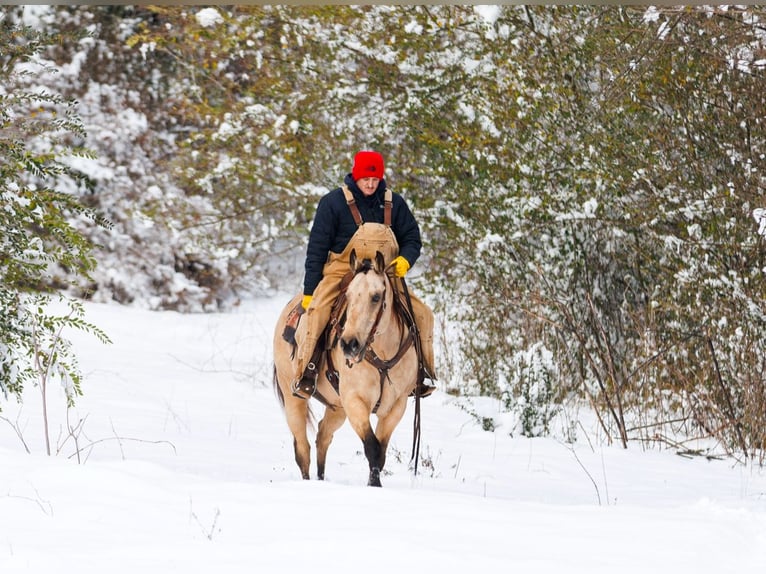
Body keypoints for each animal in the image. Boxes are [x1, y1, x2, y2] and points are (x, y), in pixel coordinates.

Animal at [272, 250, 420, 488]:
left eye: (376, 297)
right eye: (348, 296)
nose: (349, 344)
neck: (382, 353)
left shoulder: (396, 406)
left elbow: (381, 451)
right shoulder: (355, 402)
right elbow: (372, 447)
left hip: (337, 407)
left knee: (323, 436)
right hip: (293, 397)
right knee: (302, 447)